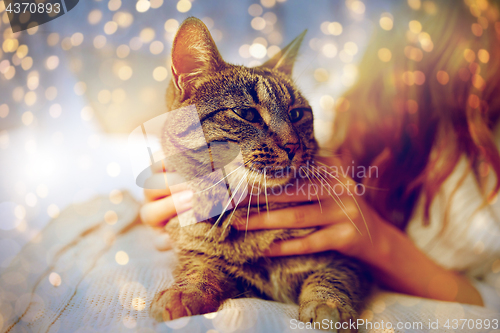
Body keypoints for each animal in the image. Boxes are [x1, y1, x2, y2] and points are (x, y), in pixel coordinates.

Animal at [150, 17, 374, 330]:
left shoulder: (349, 258)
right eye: (246, 113)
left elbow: (330, 278)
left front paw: (328, 306)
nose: (293, 145)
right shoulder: (203, 256)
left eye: (296, 114)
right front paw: (182, 293)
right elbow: (198, 271)